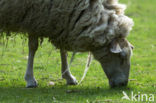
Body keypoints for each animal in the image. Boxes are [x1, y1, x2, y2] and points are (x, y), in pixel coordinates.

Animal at [0, 0, 134, 87]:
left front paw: (69, 77)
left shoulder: (60, 20)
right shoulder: (34, 17)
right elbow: (33, 47)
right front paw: (30, 79)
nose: (123, 84)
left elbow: (63, 50)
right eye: (122, 56)